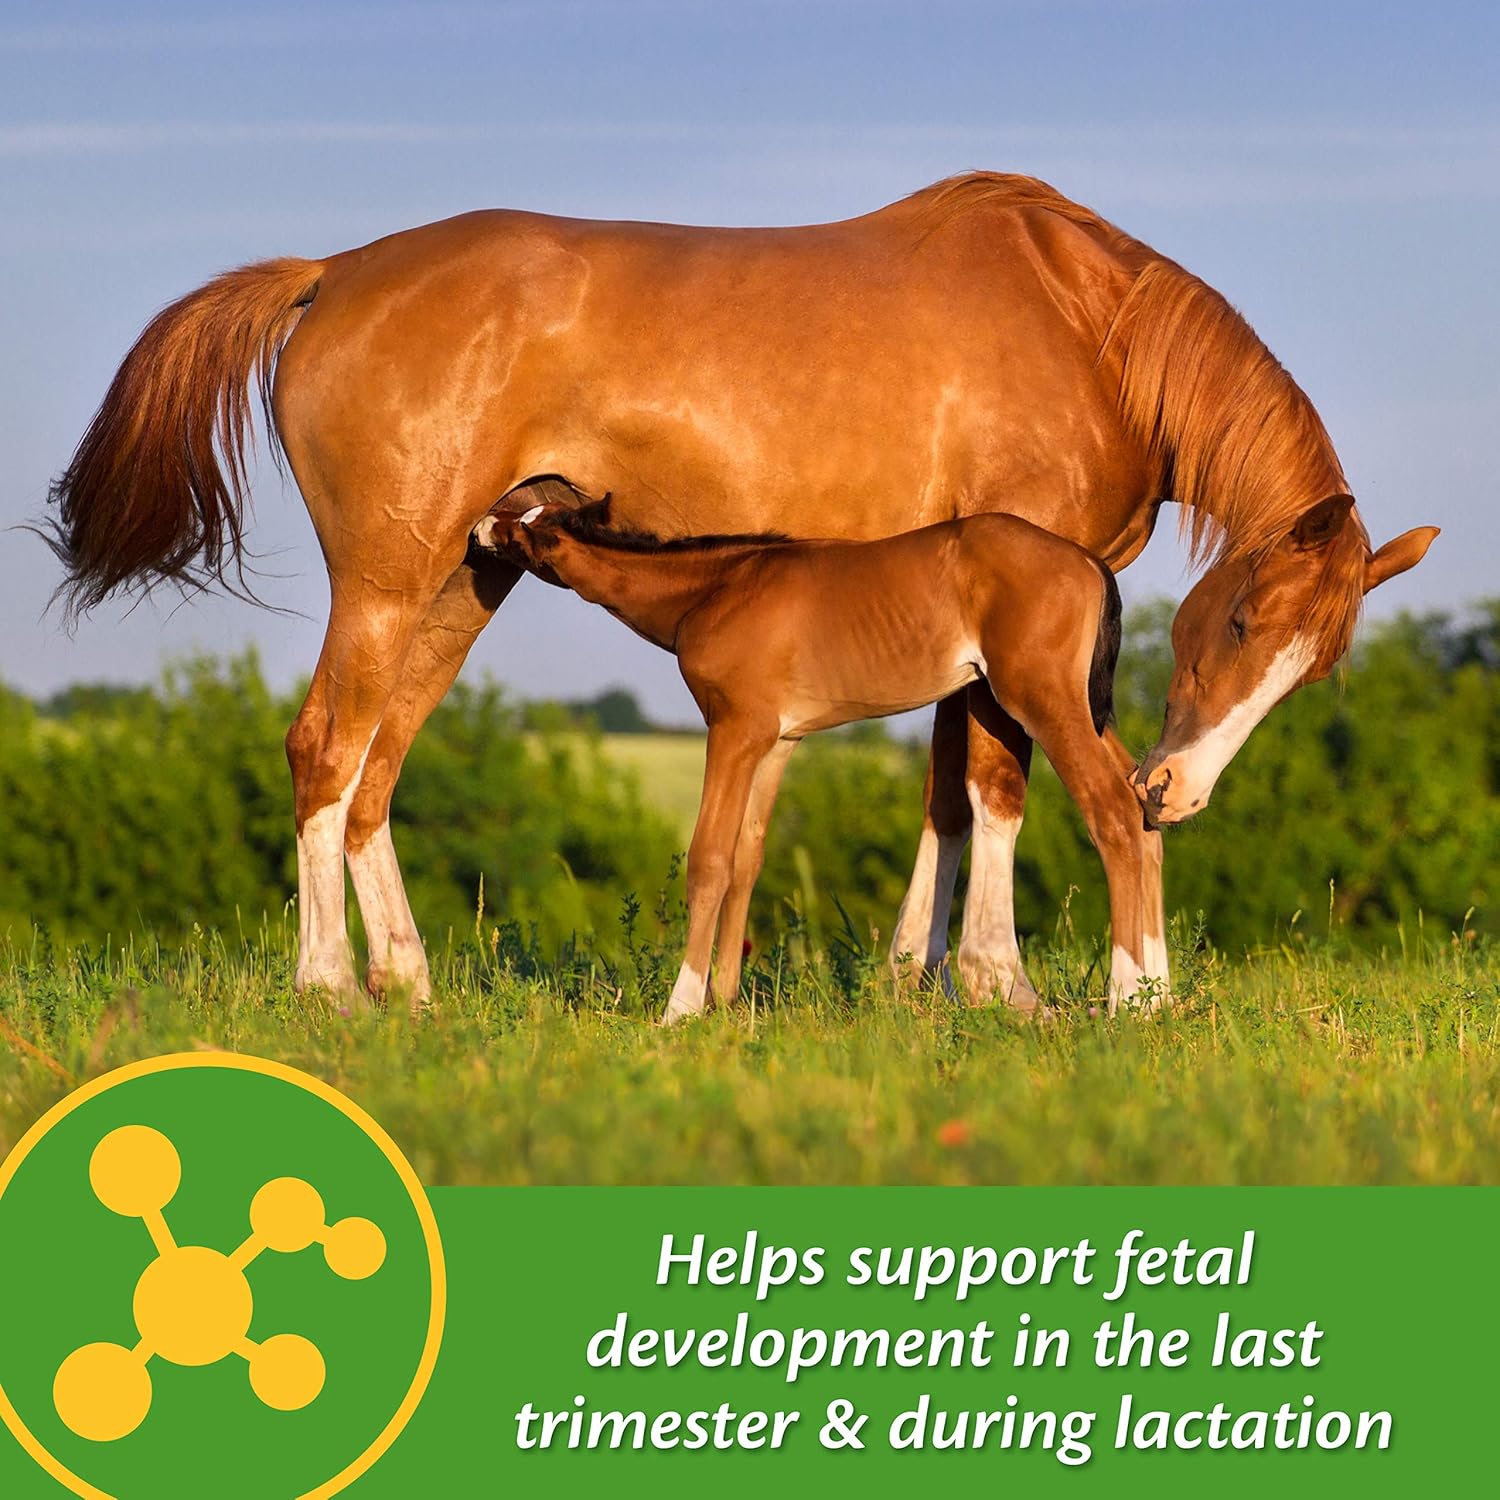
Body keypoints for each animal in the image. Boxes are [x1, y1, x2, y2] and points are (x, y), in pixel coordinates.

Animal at [471, 495, 1158, 1022]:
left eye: (527, 526)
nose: (478, 527)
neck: (718, 587)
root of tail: (1089, 562)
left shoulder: (734, 729)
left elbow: (710, 859)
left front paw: (681, 1009)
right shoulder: (777, 742)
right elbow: (747, 857)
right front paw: (725, 1001)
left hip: (1042, 702)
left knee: (1115, 812)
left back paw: (1126, 1000)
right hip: (1076, 710)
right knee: (1148, 801)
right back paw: (1156, 996)